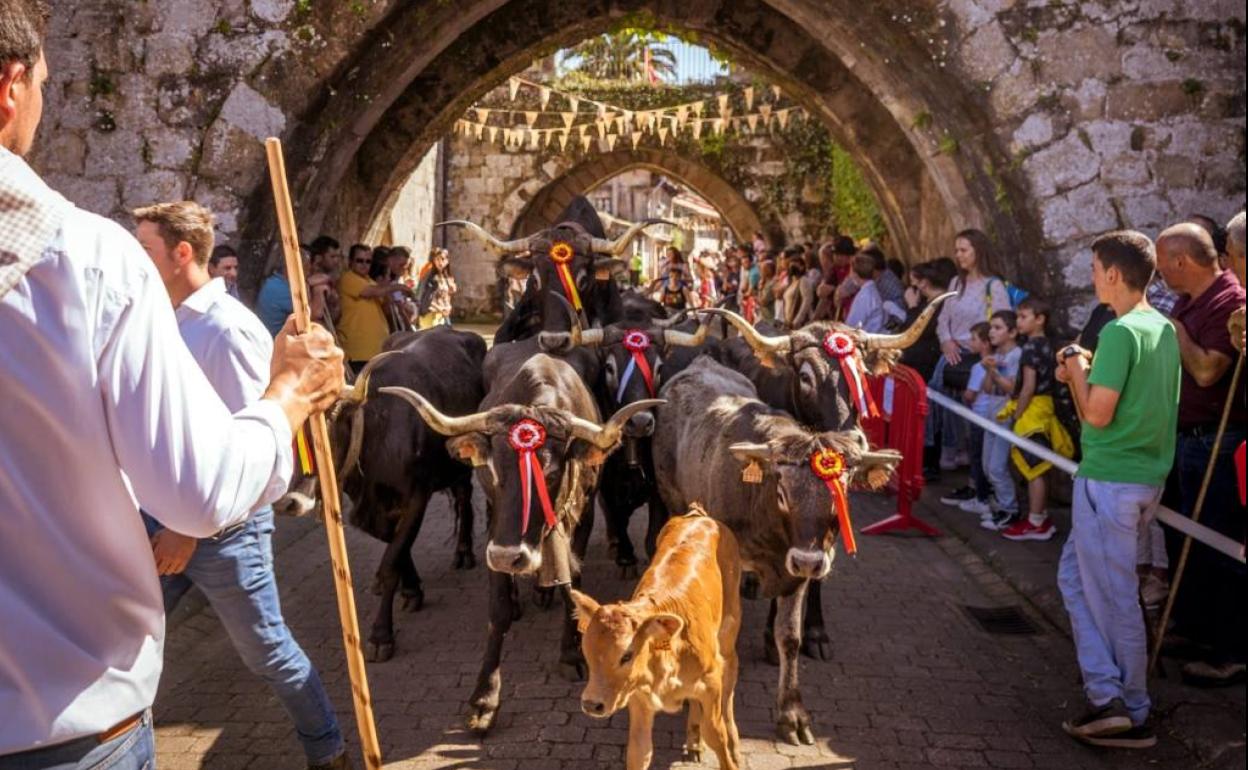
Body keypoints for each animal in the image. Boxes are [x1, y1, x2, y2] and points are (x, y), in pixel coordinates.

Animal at [571, 504, 738, 768]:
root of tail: (699, 516)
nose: (591, 703)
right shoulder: (639, 698)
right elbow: (640, 751)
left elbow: (716, 734)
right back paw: (693, 741)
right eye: (586, 652)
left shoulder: (711, 682)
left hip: (729, 633)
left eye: (626, 655)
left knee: (731, 675)